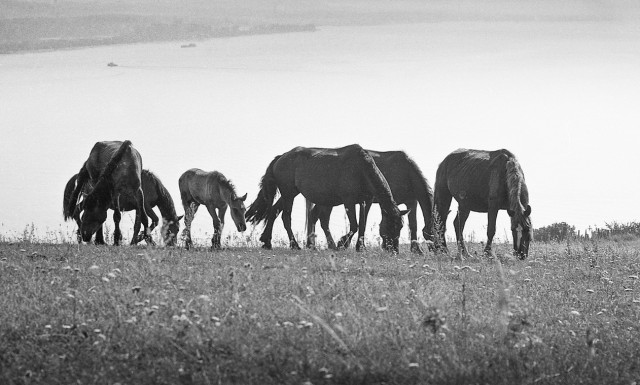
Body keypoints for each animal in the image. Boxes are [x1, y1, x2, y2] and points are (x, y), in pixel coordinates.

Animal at [245, 144, 410, 252]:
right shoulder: (349, 201)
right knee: (285, 217)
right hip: (288, 194)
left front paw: (360, 247)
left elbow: (362, 224)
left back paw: (267, 241)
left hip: (289, 194)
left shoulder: (366, 202)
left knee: (273, 211)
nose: (394, 250)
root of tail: (281, 157)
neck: (361, 169)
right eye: (390, 225)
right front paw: (342, 243)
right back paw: (295, 245)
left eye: (400, 226)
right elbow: (354, 225)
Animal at [304, 149, 436, 252]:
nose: (439, 250)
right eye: (434, 233)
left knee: (316, 217)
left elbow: (413, 225)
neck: (406, 172)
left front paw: (416, 250)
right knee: (321, 218)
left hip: (326, 200)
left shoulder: (411, 201)